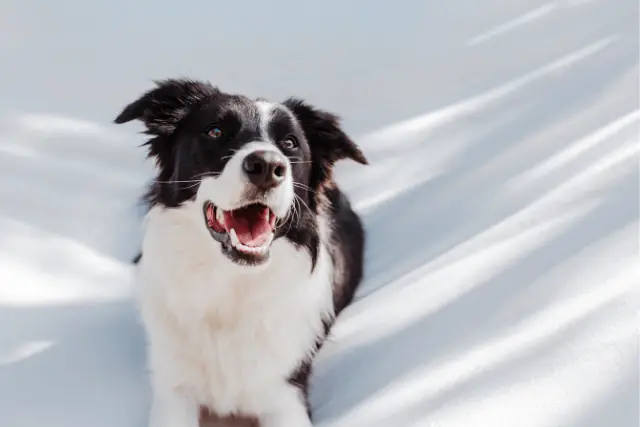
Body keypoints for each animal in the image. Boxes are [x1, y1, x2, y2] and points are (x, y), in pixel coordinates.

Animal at [114, 80, 364, 427]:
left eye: (290, 142)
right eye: (216, 131)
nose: (267, 167)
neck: (230, 285)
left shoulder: (286, 395)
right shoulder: (174, 390)